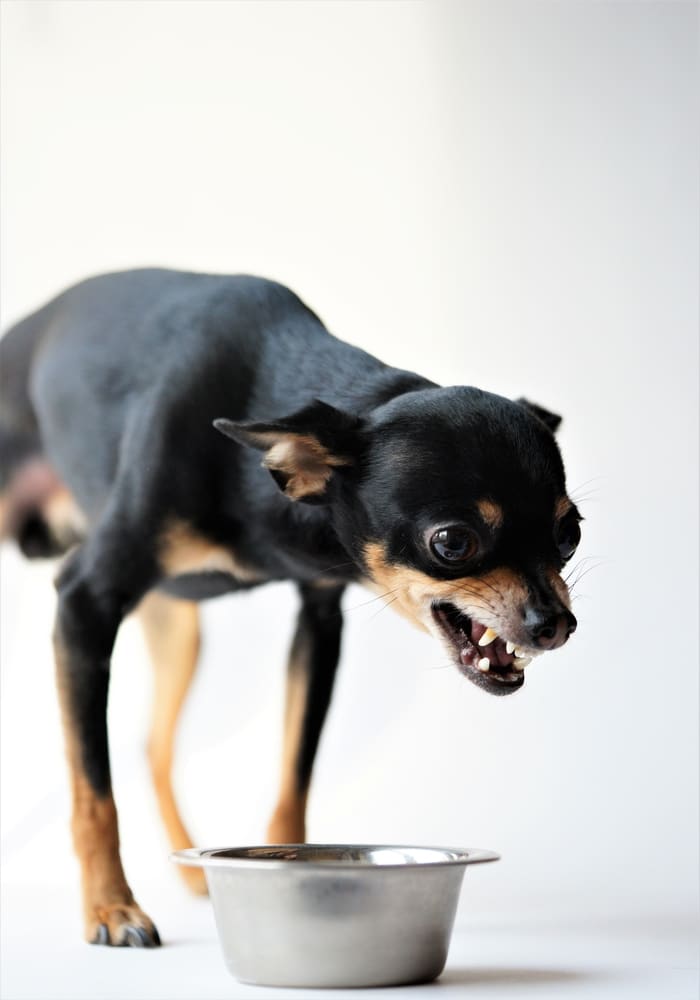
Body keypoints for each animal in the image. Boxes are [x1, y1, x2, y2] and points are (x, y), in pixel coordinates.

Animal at [0, 272, 580, 944]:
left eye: (570, 534)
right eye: (453, 543)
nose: (557, 625)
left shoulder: (319, 621)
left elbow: (292, 778)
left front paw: (298, 877)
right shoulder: (85, 600)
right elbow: (93, 791)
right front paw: (110, 909)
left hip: (177, 628)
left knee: (153, 745)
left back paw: (190, 865)